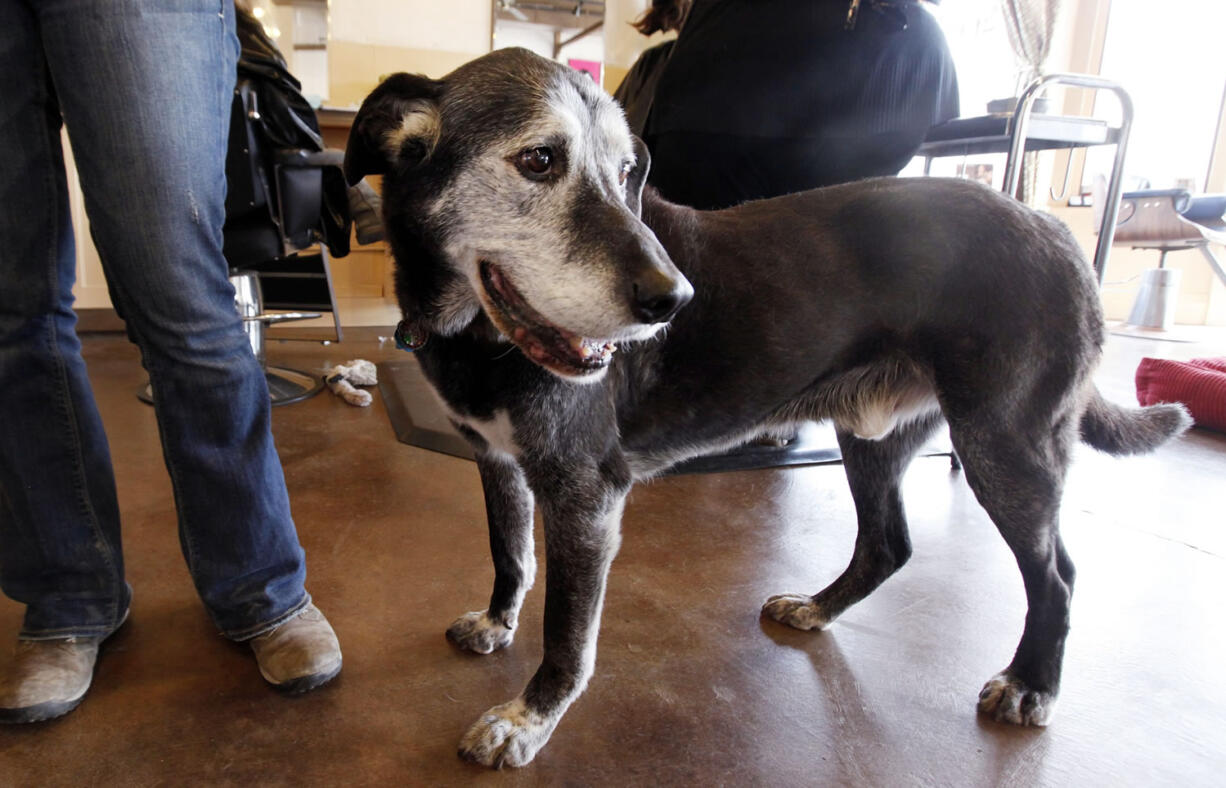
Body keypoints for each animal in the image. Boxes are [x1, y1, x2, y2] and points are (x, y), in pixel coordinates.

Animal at [343, 46, 1186, 769]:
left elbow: (567, 633)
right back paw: (818, 608)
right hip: (873, 435)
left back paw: (1032, 685)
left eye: (626, 172)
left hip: (1004, 444)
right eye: (539, 159)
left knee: (1058, 575)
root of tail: (1053, 228)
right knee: (889, 544)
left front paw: (528, 720)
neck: (476, 333)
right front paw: (496, 621)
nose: (675, 299)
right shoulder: (498, 460)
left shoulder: (586, 494)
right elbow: (510, 554)